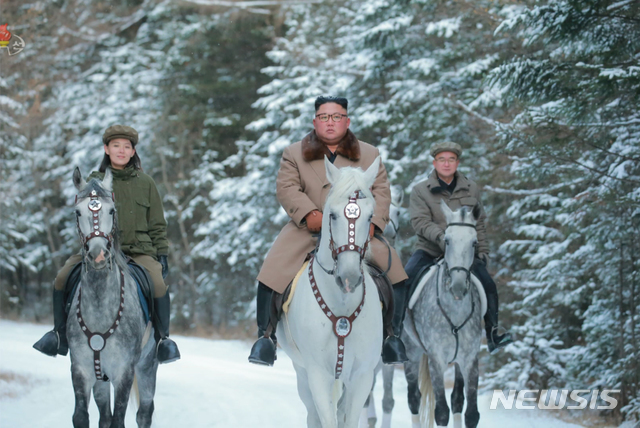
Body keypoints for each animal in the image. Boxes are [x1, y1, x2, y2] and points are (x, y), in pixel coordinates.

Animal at [68, 168, 159, 428]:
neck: (100, 306)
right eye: (78, 212)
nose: (98, 255)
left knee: (144, 413)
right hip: (101, 378)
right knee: (104, 417)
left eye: (111, 210)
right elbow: (82, 416)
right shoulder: (81, 370)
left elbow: (119, 420)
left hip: (147, 366)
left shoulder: (124, 372)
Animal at [278, 157, 382, 428]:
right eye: (332, 215)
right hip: (302, 373)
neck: (342, 306)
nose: (348, 277)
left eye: (371, 216)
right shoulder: (317, 374)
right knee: (312, 415)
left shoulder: (362, 376)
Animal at [402, 201, 482, 428]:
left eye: (474, 243)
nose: (457, 287)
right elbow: (441, 413)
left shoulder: (469, 359)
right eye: (446, 240)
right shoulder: (436, 359)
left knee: (456, 400)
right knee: (414, 399)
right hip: (411, 353)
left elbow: (470, 413)